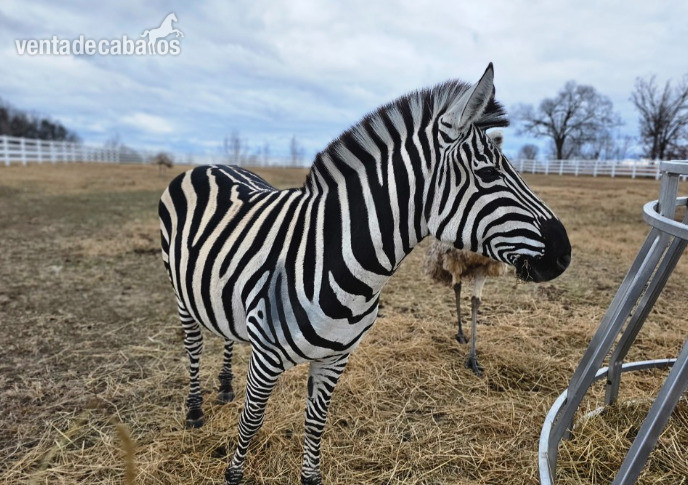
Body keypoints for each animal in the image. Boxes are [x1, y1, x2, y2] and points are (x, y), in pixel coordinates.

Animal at [158, 63, 571, 484]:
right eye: (487, 173)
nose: (564, 253)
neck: (342, 263)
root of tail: (210, 165)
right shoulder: (267, 357)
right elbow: (251, 423)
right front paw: (234, 471)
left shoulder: (335, 358)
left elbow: (315, 426)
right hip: (181, 293)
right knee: (193, 346)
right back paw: (195, 410)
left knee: (225, 333)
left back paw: (225, 388)